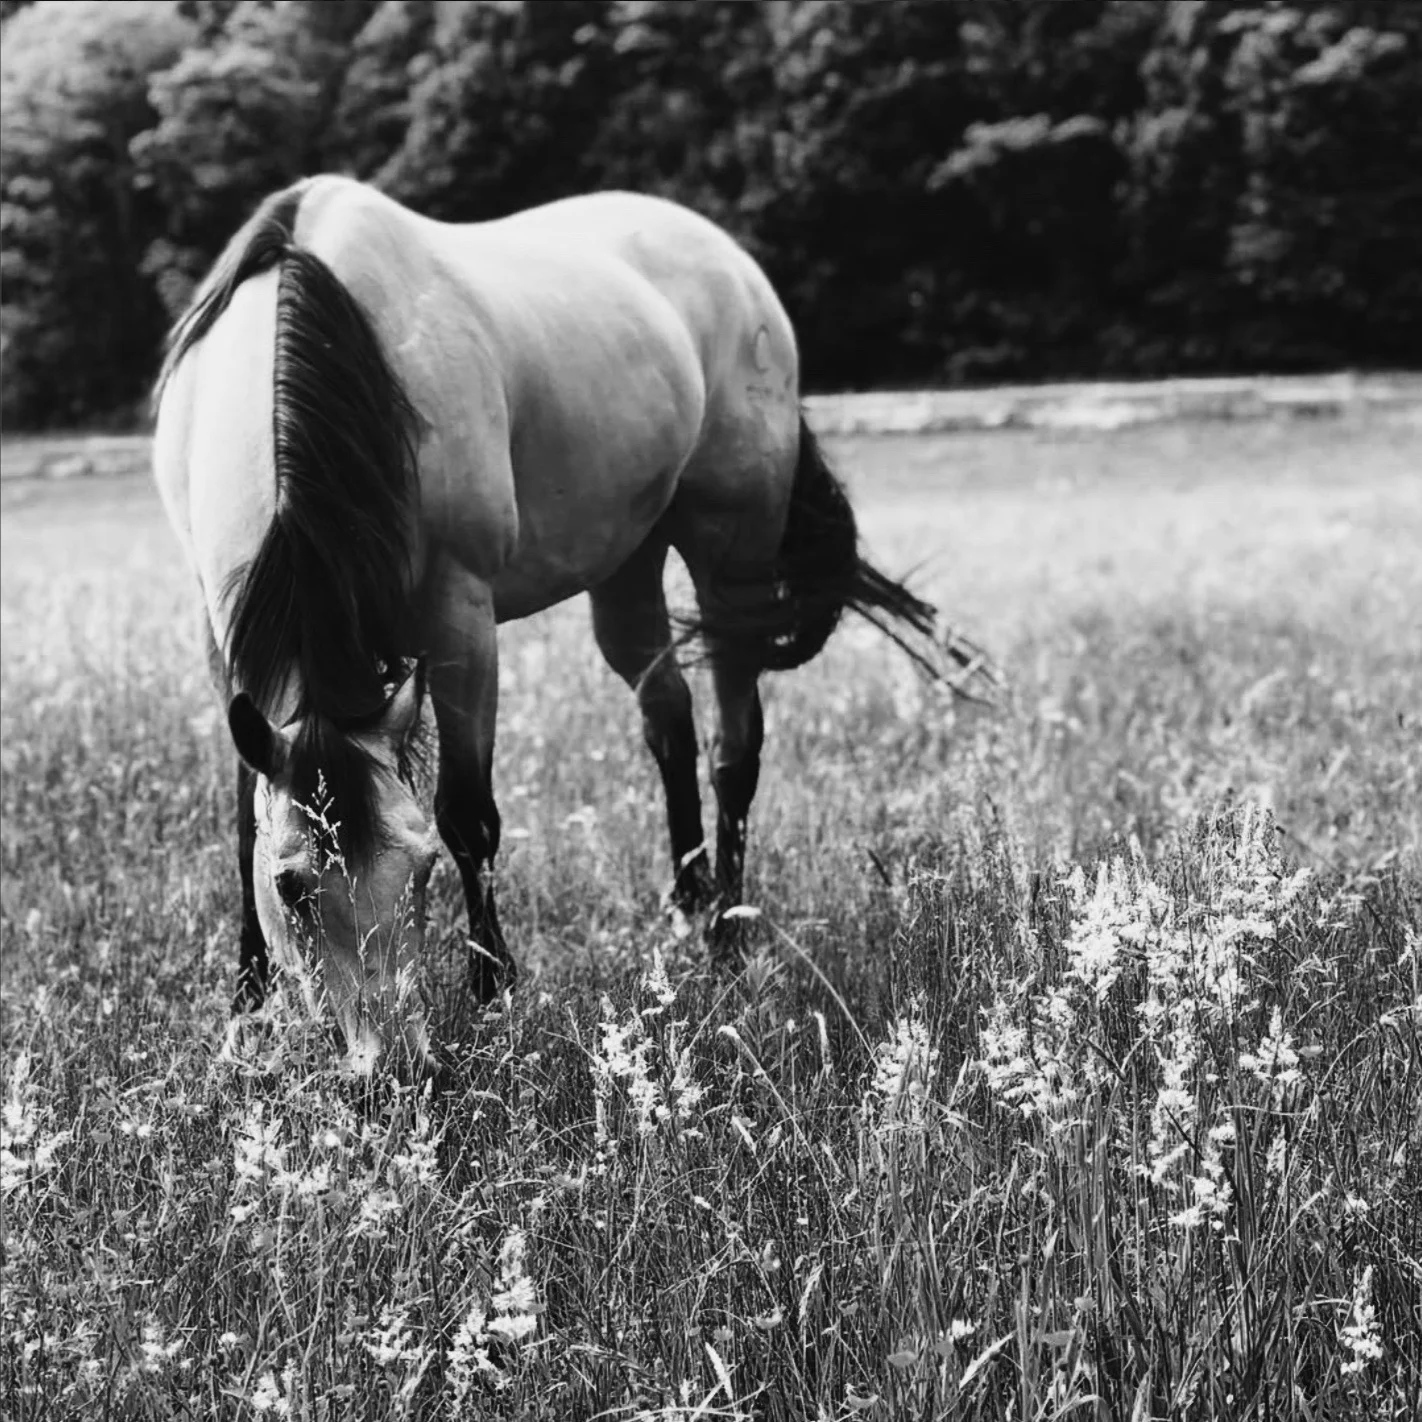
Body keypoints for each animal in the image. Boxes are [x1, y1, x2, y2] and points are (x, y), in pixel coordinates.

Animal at [152, 174, 980, 1075]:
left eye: (421, 872)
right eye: (293, 888)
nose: (396, 1068)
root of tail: (730, 260)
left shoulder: (460, 617)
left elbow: (467, 814)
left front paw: (494, 992)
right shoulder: (221, 642)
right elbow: (247, 822)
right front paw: (249, 1000)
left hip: (732, 555)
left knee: (735, 742)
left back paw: (726, 934)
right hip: (629, 560)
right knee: (669, 719)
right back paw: (687, 911)